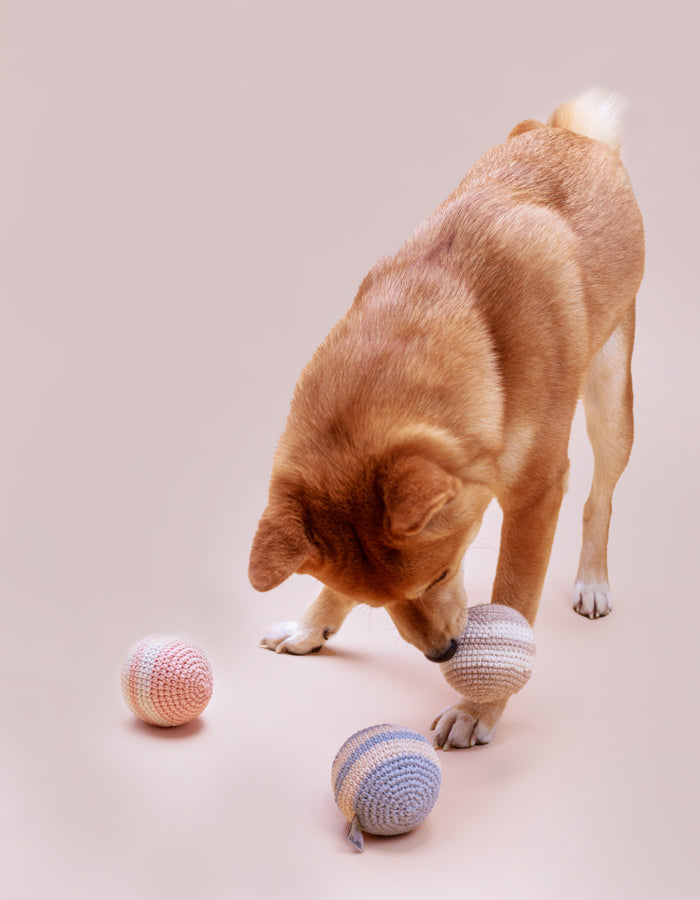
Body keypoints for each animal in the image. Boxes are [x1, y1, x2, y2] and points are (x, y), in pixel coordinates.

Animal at [247, 91, 644, 748]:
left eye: (440, 575)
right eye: (376, 603)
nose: (442, 654)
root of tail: (571, 136)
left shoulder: (537, 497)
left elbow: (513, 597)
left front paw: (479, 706)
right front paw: (312, 626)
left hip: (612, 401)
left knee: (601, 499)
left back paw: (591, 580)